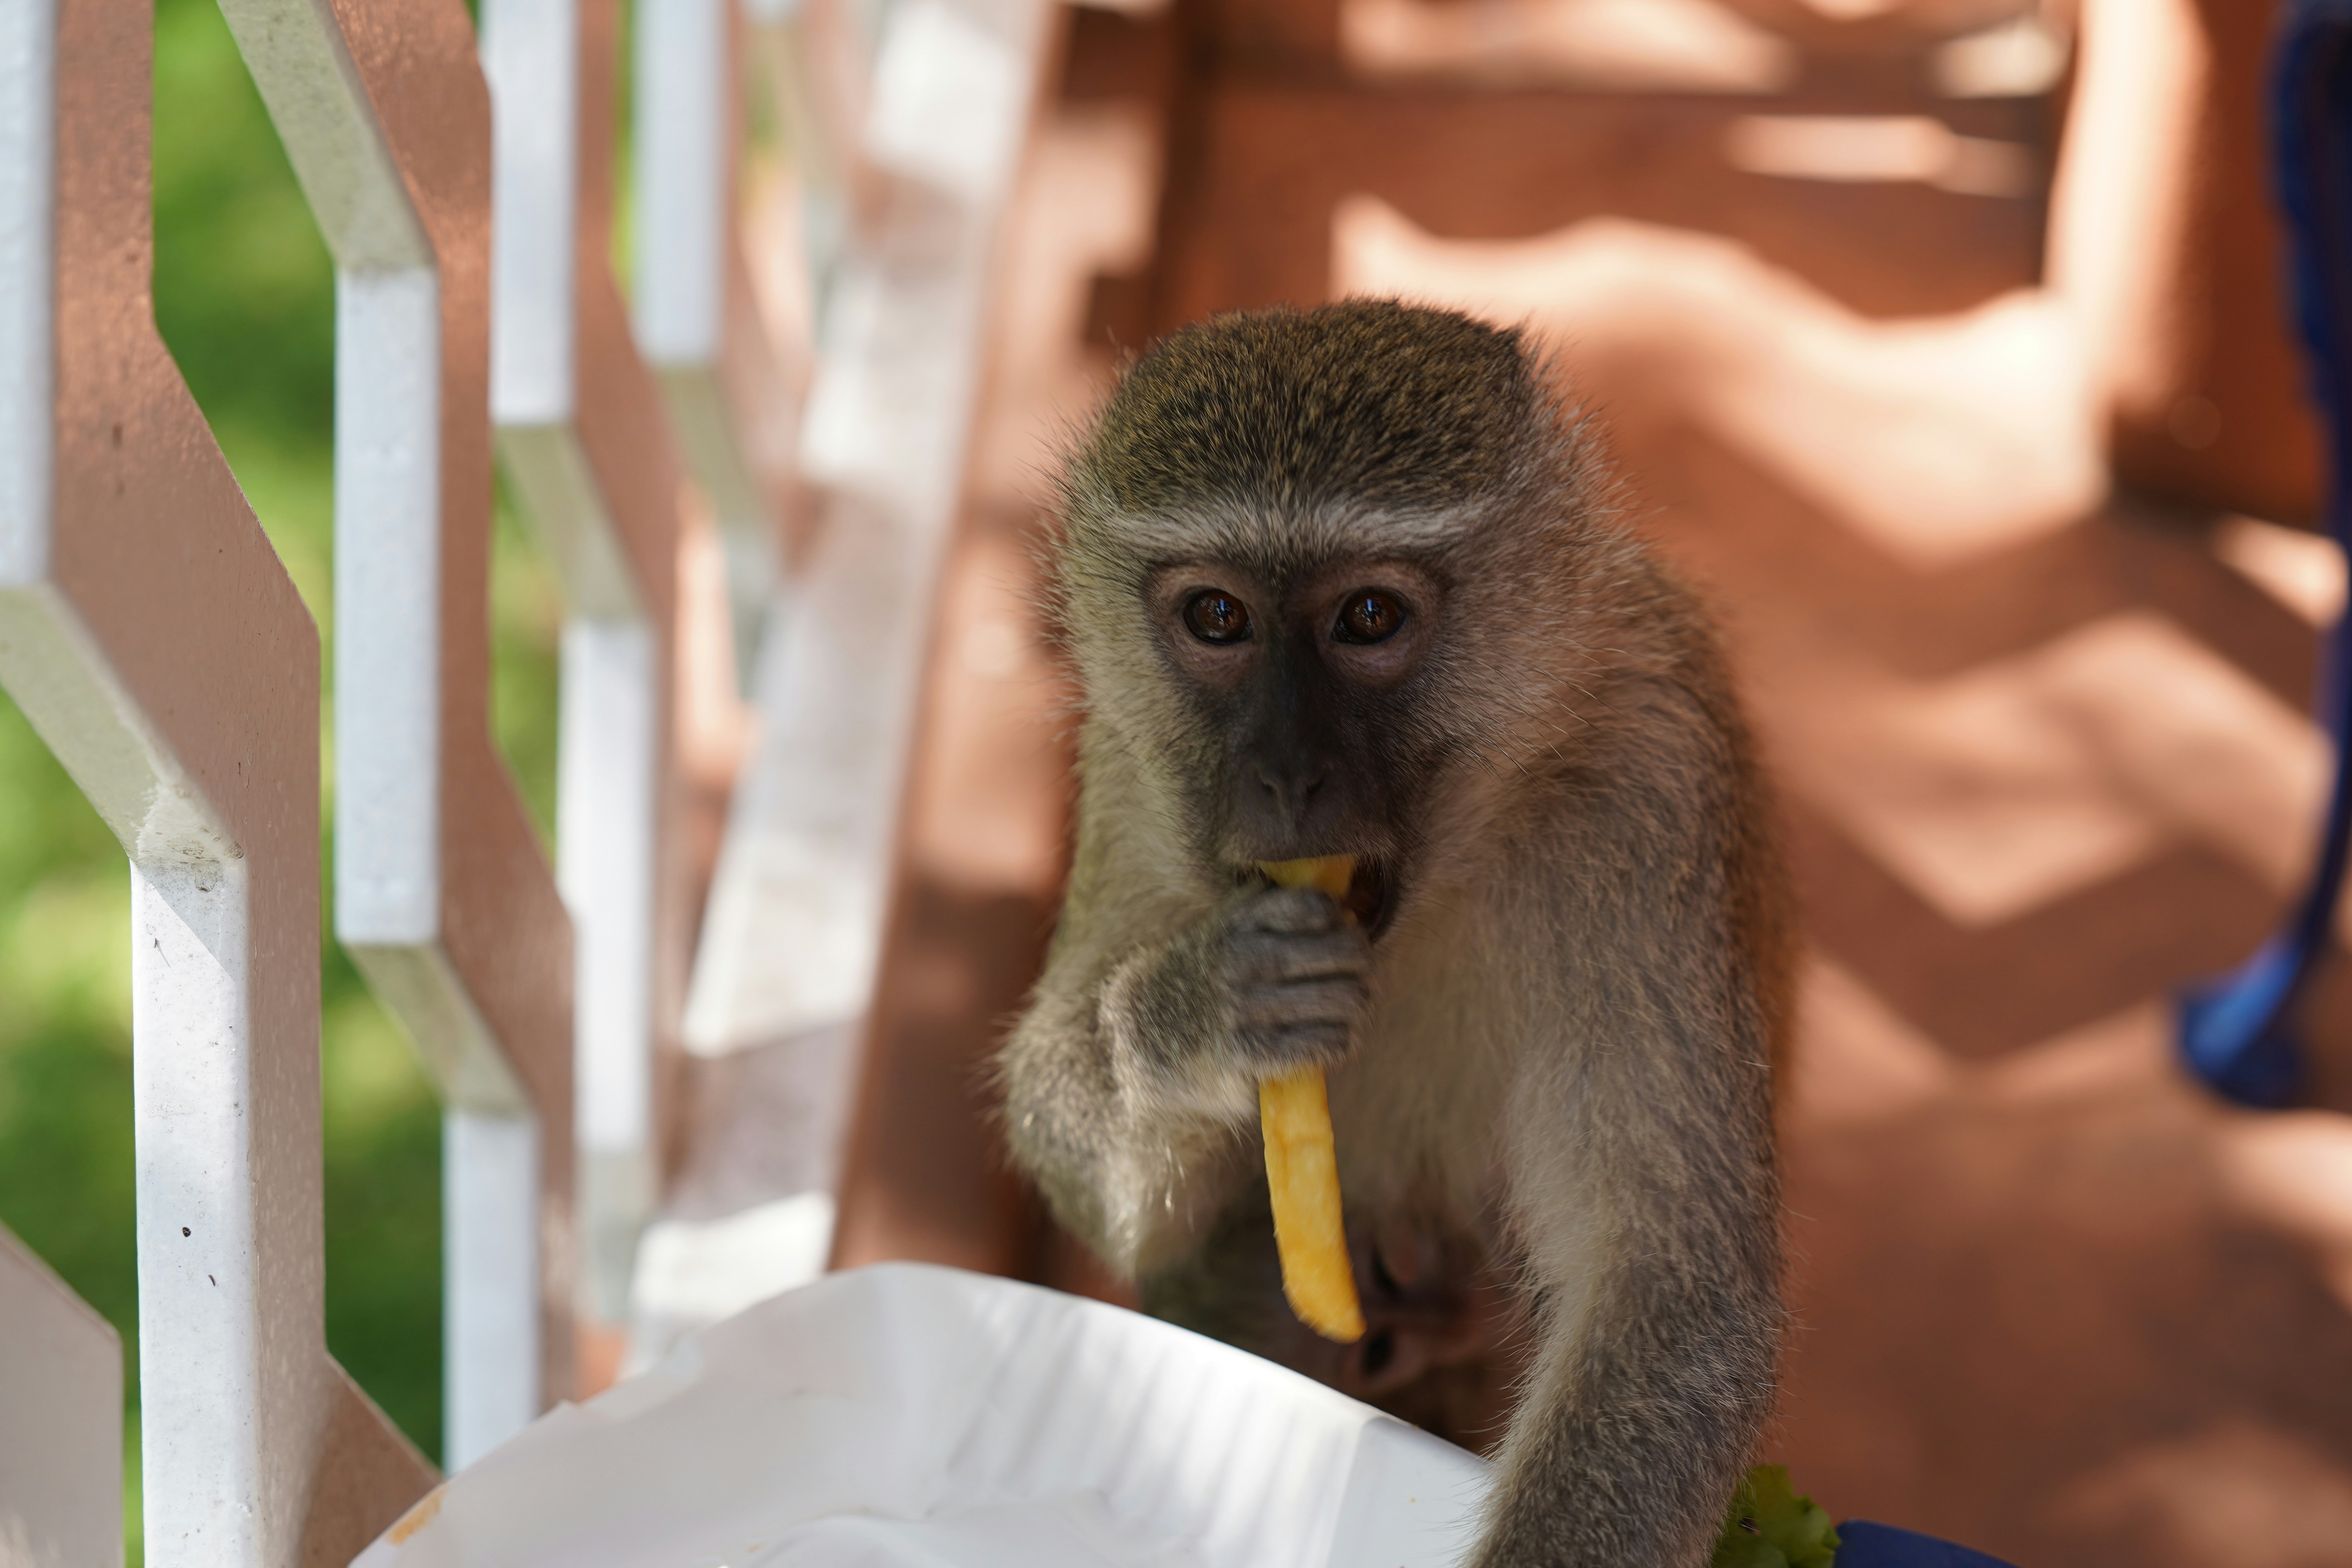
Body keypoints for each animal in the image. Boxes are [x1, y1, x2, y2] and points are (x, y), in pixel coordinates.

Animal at [1000, 299, 1793, 1567]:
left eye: (1367, 617)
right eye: (1217, 616)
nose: (1286, 774)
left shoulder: (1645, 779)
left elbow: (1666, 1294)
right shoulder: (1128, 767)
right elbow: (1120, 1211)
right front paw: (1199, 1016)